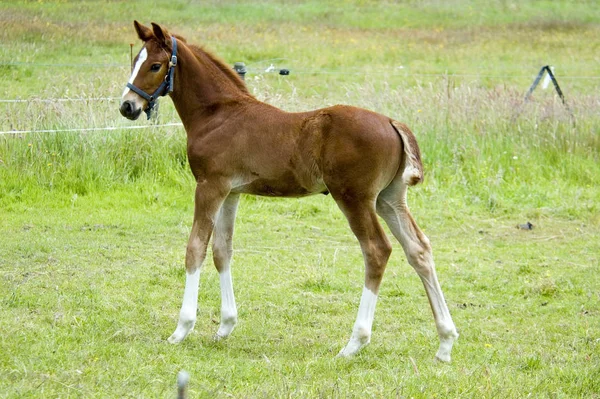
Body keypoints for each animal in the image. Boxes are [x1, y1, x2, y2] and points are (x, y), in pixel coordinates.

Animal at [120, 21, 460, 362]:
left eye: (155, 65)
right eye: (135, 60)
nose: (127, 106)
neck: (217, 114)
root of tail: (392, 121)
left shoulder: (209, 186)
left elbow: (195, 249)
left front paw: (182, 329)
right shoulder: (231, 192)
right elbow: (222, 250)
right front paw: (225, 326)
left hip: (355, 198)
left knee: (377, 250)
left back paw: (355, 342)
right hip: (389, 199)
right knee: (419, 249)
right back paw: (445, 342)